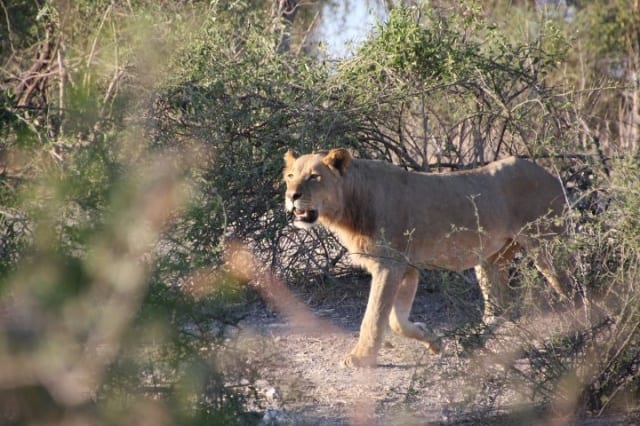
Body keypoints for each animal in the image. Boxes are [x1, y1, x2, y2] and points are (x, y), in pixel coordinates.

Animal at [282, 148, 568, 368]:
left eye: (314, 177)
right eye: (290, 176)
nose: (291, 196)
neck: (349, 206)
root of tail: (552, 176)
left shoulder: (389, 265)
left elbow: (374, 317)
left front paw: (360, 357)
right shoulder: (407, 269)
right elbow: (396, 320)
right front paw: (432, 338)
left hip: (546, 246)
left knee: (569, 291)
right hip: (490, 258)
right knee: (501, 309)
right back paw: (474, 341)